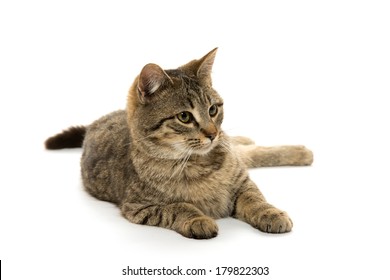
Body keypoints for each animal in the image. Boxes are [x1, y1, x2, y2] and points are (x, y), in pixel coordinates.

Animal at [46, 48, 314, 238]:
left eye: (213, 109)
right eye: (184, 116)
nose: (213, 133)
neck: (198, 163)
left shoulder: (242, 182)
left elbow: (255, 199)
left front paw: (271, 212)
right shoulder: (140, 207)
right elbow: (178, 207)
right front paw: (198, 219)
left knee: (249, 151)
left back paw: (299, 151)